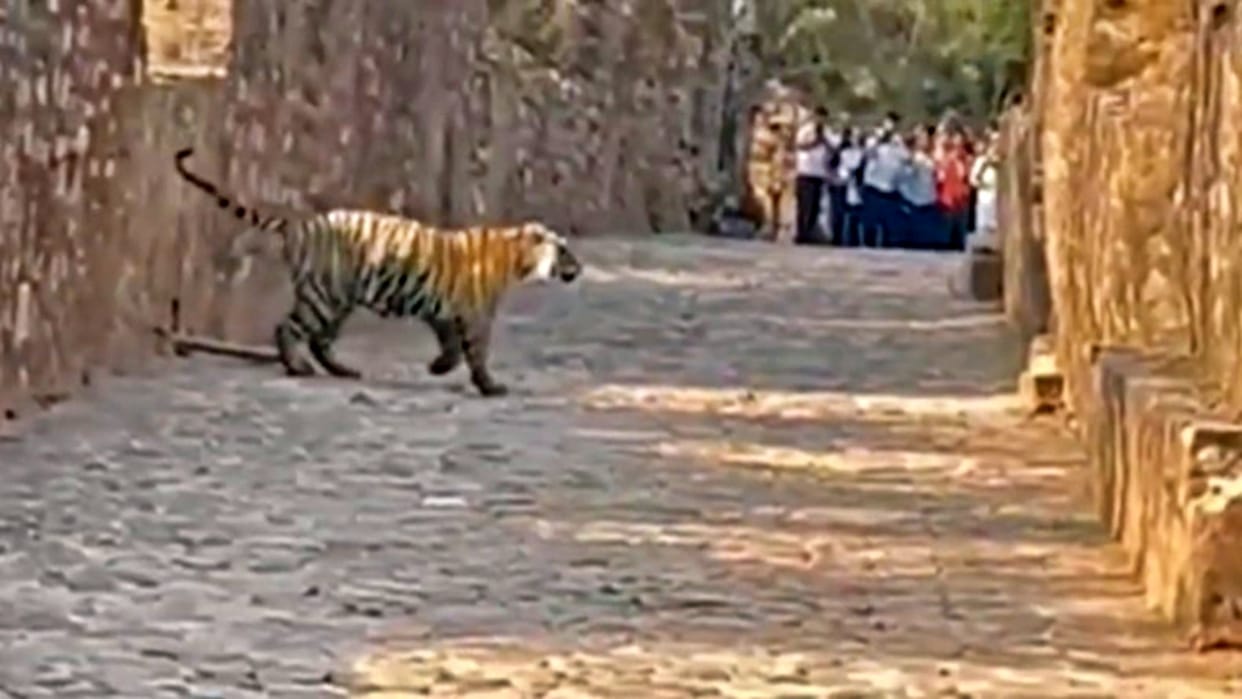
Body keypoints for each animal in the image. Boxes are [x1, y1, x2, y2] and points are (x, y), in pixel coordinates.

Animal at [173, 147, 582, 397]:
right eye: (564, 250)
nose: (578, 269)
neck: (515, 256)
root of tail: (300, 224)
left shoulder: (445, 311)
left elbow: (451, 345)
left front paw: (438, 367)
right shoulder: (476, 315)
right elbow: (476, 353)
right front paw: (490, 387)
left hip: (338, 300)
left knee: (320, 340)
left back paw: (342, 370)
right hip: (324, 297)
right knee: (288, 328)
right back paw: (298, 367)